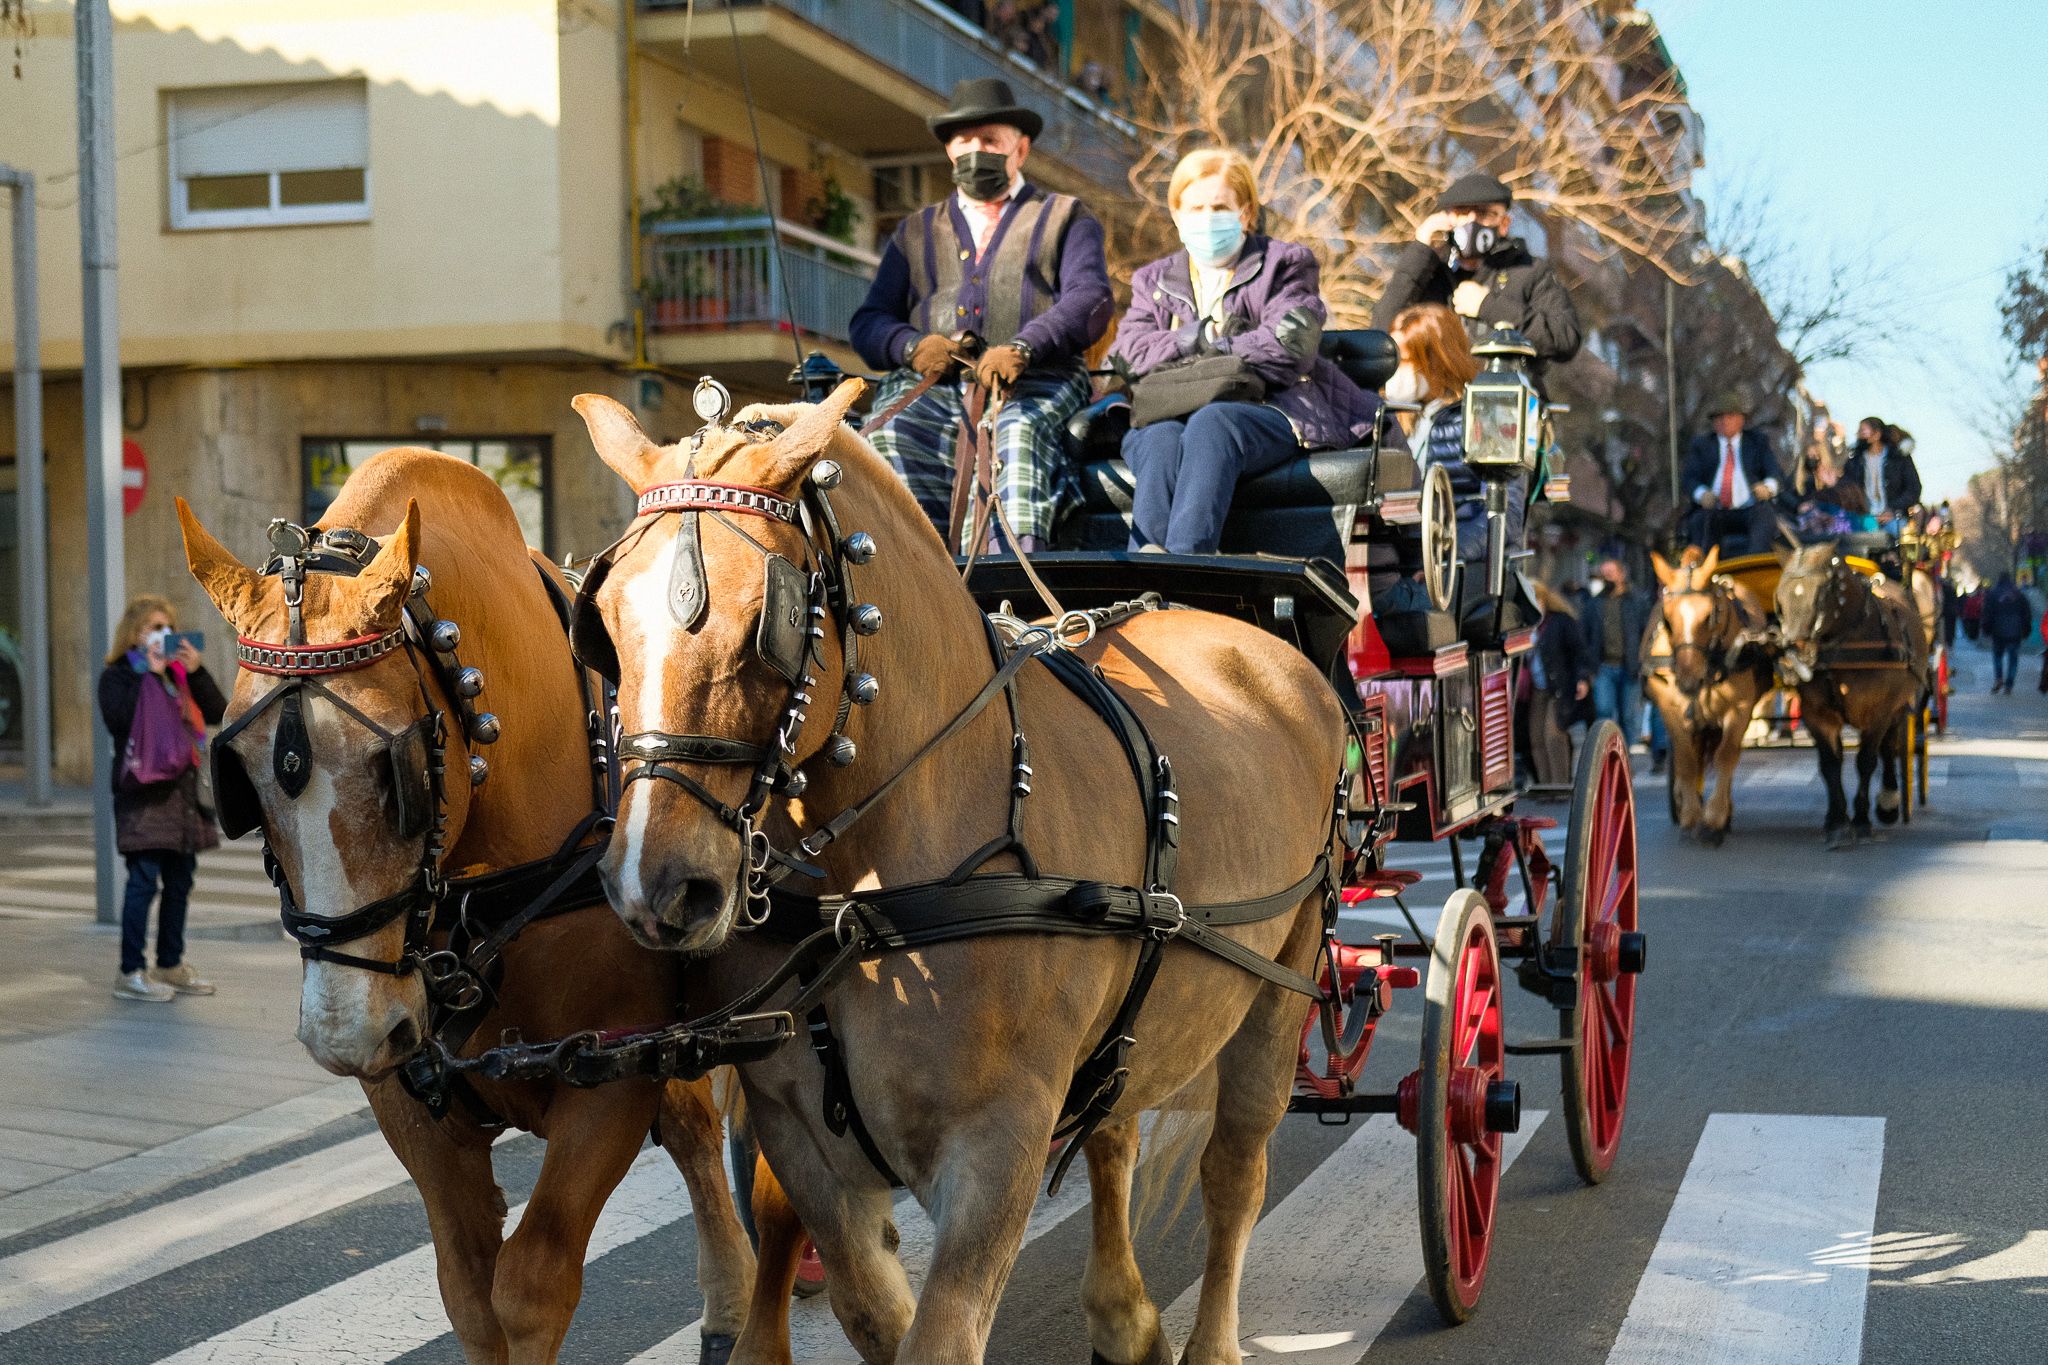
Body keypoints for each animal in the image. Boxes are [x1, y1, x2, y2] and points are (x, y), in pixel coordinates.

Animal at [178, 450, 761, 1365]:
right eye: (242, 774)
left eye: (398, 770)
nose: (346, 1033)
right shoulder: (409, 1100)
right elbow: (468, 1290)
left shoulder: (612, 1079)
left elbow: (530, 1283)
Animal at [569, 382, 1351, 1365]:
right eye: (605, 625)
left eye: (766, 621)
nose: (655, 885)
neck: (865, 902)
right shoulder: (800, 1135)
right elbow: (871, 1308)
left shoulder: (997, 1146)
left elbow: (937, 1336)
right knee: (1115, 1130)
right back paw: (1124, 1315)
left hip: (1281, 990)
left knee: (1235, 1175)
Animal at [1638, 544, 1769, 843]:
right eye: (1667, 620)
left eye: (1710, 616)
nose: (1688, 680)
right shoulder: (1671, 710)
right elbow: (1686, 759)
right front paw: (1689, 814)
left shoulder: (1739, 708)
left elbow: (1726, 756)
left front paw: (1715, 816)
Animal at [1777, 540, 1916, 843]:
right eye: (1780, 598)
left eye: (1821, 595)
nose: (1794, 657)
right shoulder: (1817, 714)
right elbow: (1830, 763)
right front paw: (1837, 821)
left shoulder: (1878, 712)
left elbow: (1866, 761)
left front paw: (1862, 820)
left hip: (1898, 707)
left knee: (1889, 747)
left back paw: (1888, 802)